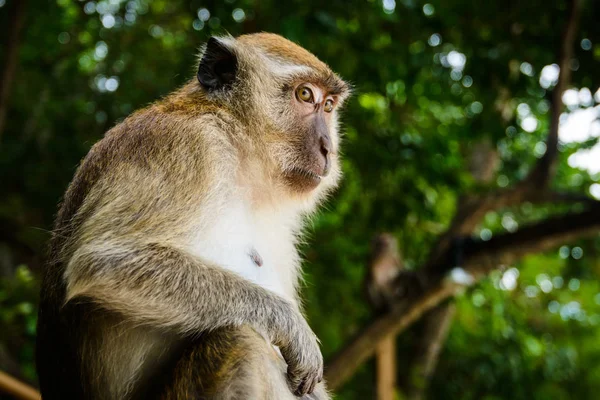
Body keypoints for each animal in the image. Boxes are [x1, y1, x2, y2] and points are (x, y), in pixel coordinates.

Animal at [35, 32, 352, 400]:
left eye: (328, 105)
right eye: (305, 95)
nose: (328, 148)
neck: (240, 152)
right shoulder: (185, 146)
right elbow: (103, 261)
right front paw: (292, 329)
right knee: (242, 342)